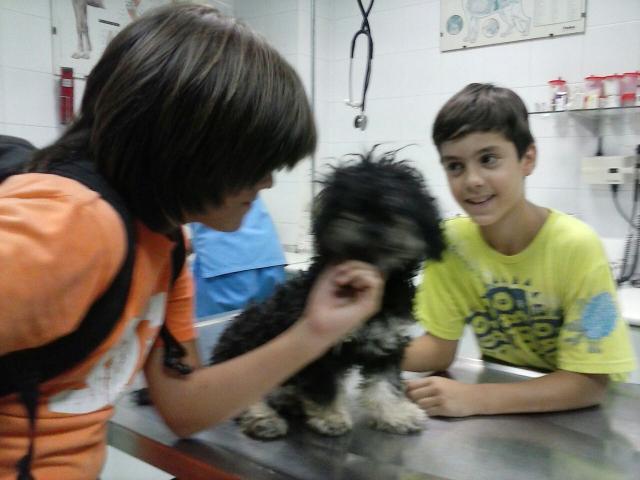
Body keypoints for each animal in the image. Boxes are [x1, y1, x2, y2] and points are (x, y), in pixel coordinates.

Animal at [210, 149, 445, 439]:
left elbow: (385, 383)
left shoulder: (387, 341)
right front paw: (330, 417)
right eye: (352, 204)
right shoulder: (317, 344)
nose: (373, 228)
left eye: (396, 205)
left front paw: (395, 414)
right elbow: (325, 385)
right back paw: (263, 418)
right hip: (248, 351)